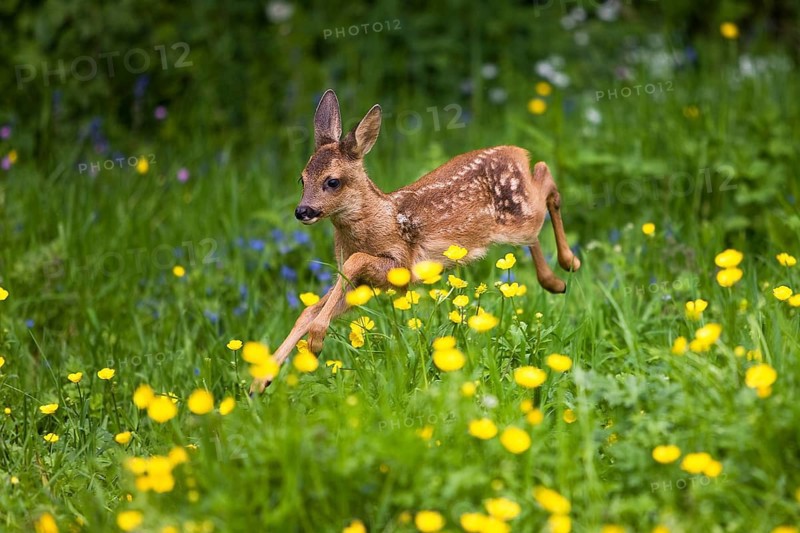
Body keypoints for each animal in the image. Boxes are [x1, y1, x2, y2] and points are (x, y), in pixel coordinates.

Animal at [251, 89, 580, 393]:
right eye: (301, 178)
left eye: (332, 181)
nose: (303, 211)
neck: (379, 218)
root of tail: (515, 152)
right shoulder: (360, 285)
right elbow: (309, 310)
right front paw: (260, 382)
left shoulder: (400, 264)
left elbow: (355, 262)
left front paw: (315, 343)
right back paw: (555, 281)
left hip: (519, 218)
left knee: (545, 177)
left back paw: (569, 263)